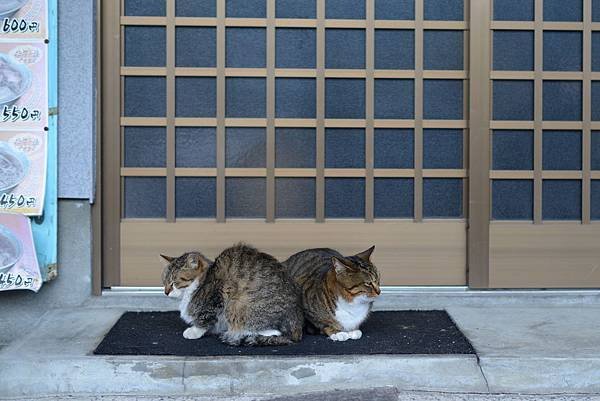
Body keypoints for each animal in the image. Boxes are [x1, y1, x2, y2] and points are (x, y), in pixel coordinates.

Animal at [159, 242, 302, 346]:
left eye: (174, 282)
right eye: (164, 281)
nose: (165, 292)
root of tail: (298, 326)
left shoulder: (217, 298)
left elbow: (205, 318)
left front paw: (194, 331)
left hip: (235, 305)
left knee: (274, 331)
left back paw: (237, 333)